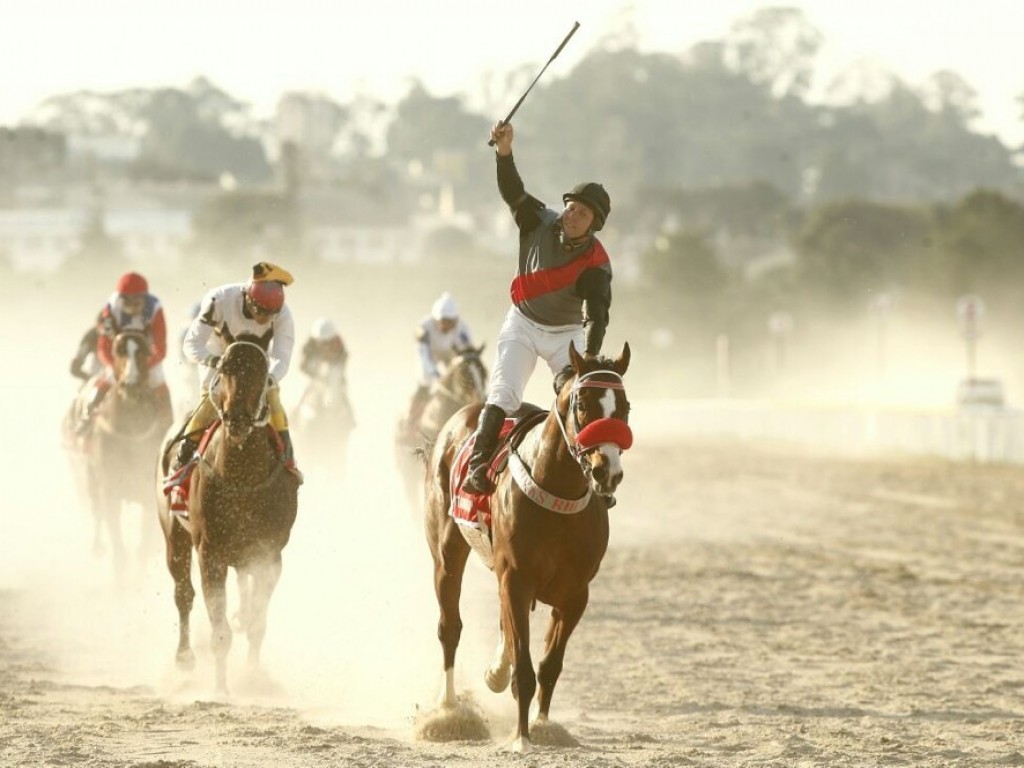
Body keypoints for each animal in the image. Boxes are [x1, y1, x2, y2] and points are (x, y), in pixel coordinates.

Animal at [153, 339, 299, 696]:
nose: (237, 419)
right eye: (224, 369)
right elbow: (219, 628)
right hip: (174, 534)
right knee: (183, 593)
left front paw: (254, 675)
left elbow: (258, 622)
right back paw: (185, 657)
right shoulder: (211, 551)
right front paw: (221, 688)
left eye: (261, 372)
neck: (242, 476)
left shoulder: (269, 555)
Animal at [423, 342, 630, 753]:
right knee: (449, 627)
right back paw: (448, 711)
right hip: (446, 554)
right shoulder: (517, 581)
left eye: (625, 406)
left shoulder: (575, 593)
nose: (607, 472)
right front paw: (521, 737)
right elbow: (525, 667)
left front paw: (543, 724)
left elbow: (550, 665)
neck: (558, 494)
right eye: (583, 404)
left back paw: (494, 673)